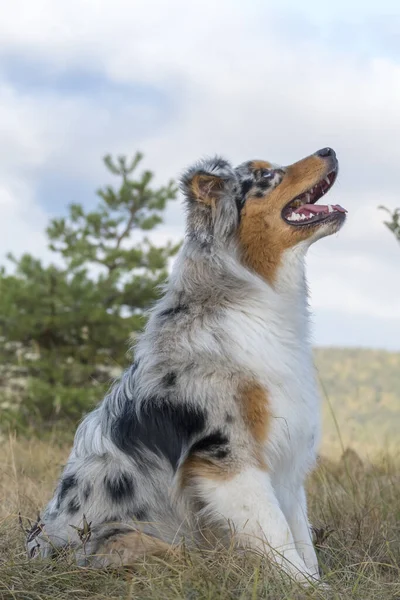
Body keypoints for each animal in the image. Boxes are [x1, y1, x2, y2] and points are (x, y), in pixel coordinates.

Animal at [26, 148, 346, 584]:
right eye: (265, 175)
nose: (329, 150)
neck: (248, 291)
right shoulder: (227, 458)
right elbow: (280, 537)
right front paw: (306, 587)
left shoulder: (284, 454)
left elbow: (301, 535)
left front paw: (316, 582)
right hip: (132, 541)